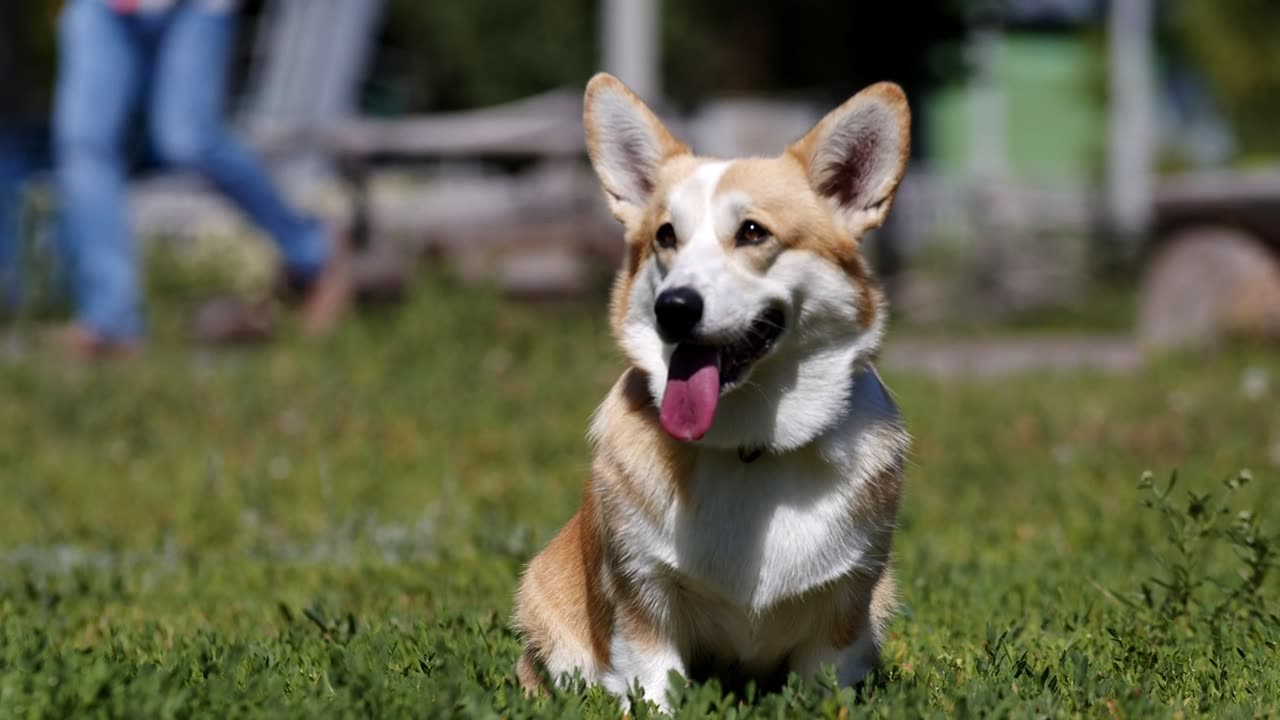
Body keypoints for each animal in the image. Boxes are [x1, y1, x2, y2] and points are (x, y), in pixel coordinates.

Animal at [509, 74, 911, 707]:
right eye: (665, 236)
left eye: (752, 232)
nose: (672, 307)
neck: (749, 443)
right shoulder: (644, 597)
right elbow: (654, 687)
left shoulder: (845, 605)